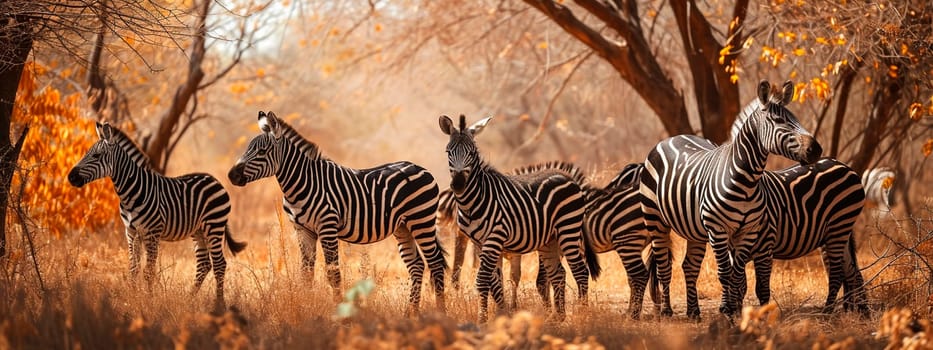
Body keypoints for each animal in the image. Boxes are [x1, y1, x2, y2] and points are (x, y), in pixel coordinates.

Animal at [68, 121, 248, 310]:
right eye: (87, 153)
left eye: (96, 155)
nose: (71, 177)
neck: (131, 191)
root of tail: (214, 180)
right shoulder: (131, 232)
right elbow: (133, 268)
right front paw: (131, 298)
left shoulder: (152, 233)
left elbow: (148, 271)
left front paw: (149, 301)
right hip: (198, 230)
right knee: (204, 264)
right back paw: (189, 299)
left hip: (214, 226)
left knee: (219, 264)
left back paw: (219, 305)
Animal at [225, 110, 444, 310]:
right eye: (248, 148)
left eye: (262, 151)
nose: (231, 175)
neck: (303, 182)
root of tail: (420, 167)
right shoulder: (303, 230)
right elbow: (306, 274)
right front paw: (306, 309)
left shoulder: (327, 227)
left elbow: (333, 274)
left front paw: (339, 312)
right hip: (403, 227)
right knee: (417, 265)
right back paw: (410, 313)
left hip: (421, 220)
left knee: (435, 263)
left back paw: (440, 312)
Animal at [436, 115, 596, 322]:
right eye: (448, 151)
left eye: (472, 152)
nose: (458, 184)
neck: (475, 199)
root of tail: (566, 176)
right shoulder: (481, 242)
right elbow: (495, 281)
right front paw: (502, 314)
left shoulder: (495, 237)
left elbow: (483, 280)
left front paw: (483, 319)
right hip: (549, 240)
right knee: (558, 273)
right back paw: (558, 317)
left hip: (568, 230)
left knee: (580, 272)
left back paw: (583, 313)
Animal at [640, 80, 824, 318]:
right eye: (778, 121)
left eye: (796, 119)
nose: (816, 149)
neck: (746, 181)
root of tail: (673, 137)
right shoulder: (718, 230)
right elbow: (725, 273)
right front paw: (727, 309)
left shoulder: (748, 231)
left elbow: (737, 274)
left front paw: (735, 311)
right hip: (655, 220)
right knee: (664, 266)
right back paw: (666, 311)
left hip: (694, 230)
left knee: (689, 266)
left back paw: (694, 312)